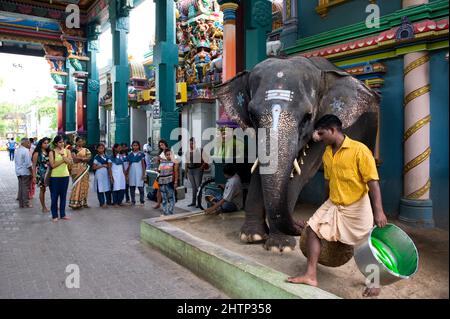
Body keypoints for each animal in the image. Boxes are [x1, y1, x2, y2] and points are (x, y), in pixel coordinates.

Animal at [214, 56, 380, 254]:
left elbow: (301, 172)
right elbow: (261, 169)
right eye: (252, 115)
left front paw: (279, 246)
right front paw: (251, 236)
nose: (302, 225)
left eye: (308, 116)